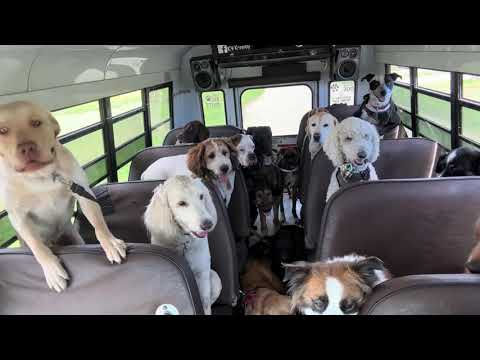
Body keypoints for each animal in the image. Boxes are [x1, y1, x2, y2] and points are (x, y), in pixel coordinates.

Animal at [0, 100, 126, 292]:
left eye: (36, 123)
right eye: (3, 130)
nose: (26, 148)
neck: (41, 177)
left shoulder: (82, 191)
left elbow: (98, 223)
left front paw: (110, 242)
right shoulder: (18, 217)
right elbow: (37, 246)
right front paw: (51, 268)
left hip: (74, 236)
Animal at [142, 175, 221, 316]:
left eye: (201, 196)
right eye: (181, 203)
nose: (208, 224)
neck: (183, 242)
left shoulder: (203, 273)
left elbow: (205, 302)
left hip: (215, 278)